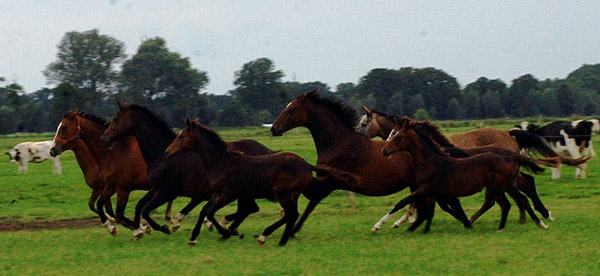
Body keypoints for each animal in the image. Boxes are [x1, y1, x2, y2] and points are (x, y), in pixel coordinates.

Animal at [100, 102, 274, 238]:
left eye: (115, 119)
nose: (103, 139)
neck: (162, 155)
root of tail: (267, 151)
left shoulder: (167, 192)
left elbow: (146, 210)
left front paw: (163, 228)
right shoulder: (156, 189)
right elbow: (139, 206)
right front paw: (139, 229)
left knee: (248, 209)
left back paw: (226, 227)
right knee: (248, 209)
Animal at [166, 118, 358, 246]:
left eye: (181, 136)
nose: (168, 152)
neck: (222, 162)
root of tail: (306, 164)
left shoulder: (228, 194)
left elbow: (210, 212)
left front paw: (228, 232)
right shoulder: (219, 194)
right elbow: (205, 211)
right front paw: (194, 237)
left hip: (283, 194)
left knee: (290, 214)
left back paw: (266, 236)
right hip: (291, 195)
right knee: (291, 215)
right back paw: (281, 240)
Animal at [270, 91, 472, 234]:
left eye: (291, 110)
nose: (274, 129)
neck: (339, 143)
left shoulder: (331, 182)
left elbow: (312, 201)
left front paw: (292, 229)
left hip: (423, 185)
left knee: (442, 204)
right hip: (419, 186)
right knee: (430, 208)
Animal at [382, 118, 552, 231]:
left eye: (396, 135)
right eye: (391, 132)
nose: (384, 150)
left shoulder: (429, 188)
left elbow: (410, 203)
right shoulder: (435, 190)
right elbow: (439, 206)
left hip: (502, 185)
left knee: (518, 195)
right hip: (505, 184)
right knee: (517, 197)